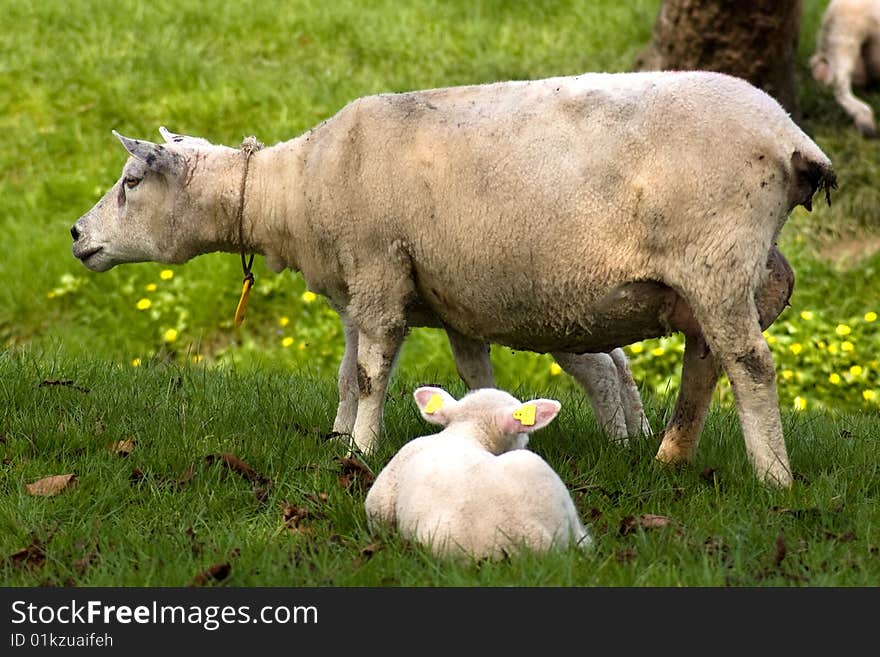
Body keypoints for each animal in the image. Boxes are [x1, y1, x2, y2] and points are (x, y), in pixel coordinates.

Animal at [72, 69, 836, 484]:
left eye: (132, 180)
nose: (76, 236)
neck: (292, 192)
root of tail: (794, 141)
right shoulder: (390, 293)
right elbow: (366, 373)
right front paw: (344, 437)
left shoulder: (379, 272)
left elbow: (371, 374)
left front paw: (360, 452)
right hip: (707, 276)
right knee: (704, 360)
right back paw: (669, 458)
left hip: (716, 255)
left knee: (749, 363)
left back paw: (773, 478)